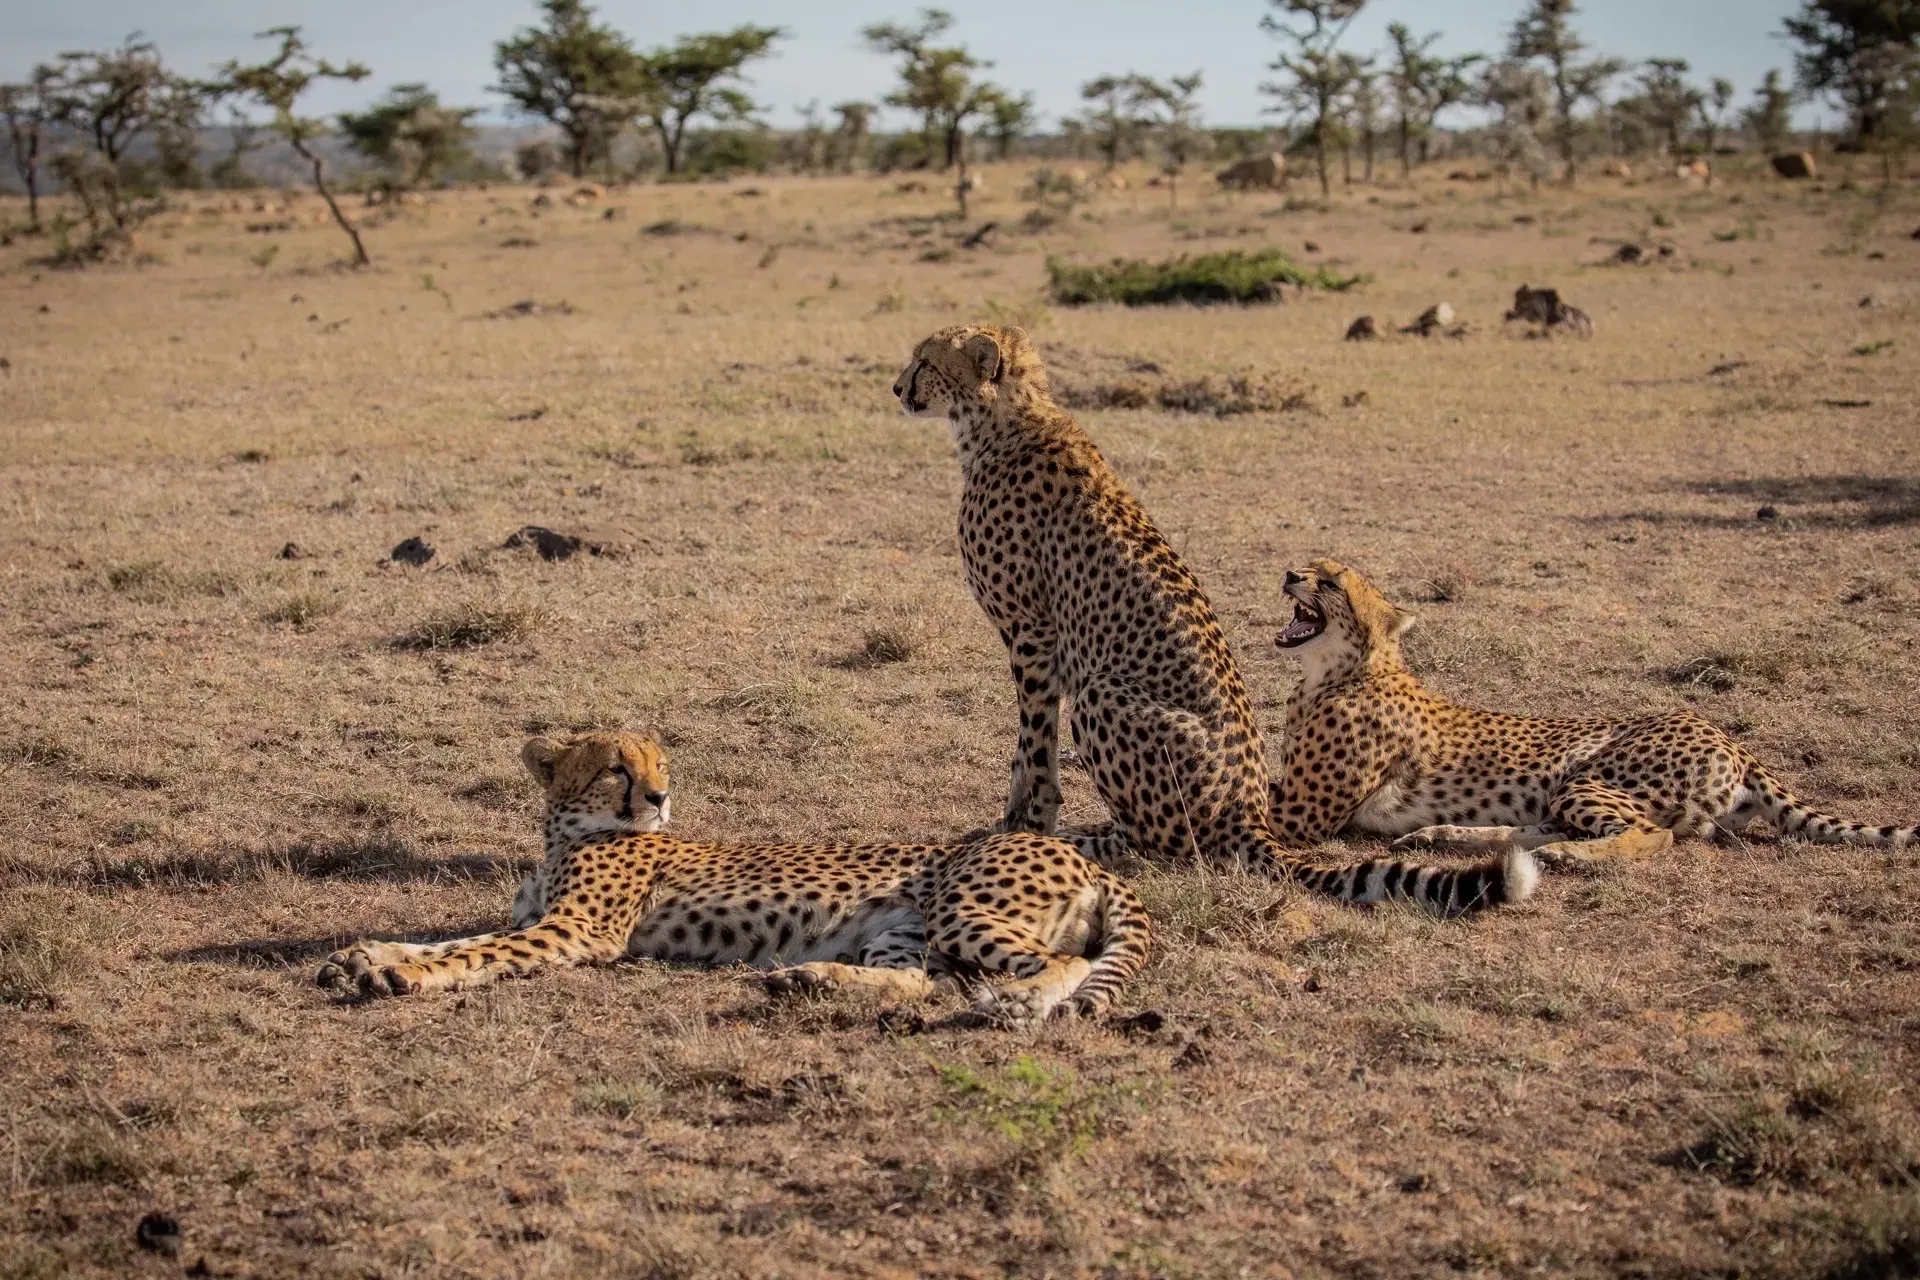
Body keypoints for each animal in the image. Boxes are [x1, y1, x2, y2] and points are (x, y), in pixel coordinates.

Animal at [315, 731, 1151, 1026]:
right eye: (617, 768)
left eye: (659, 764)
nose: (659, 797)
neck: (565, 834)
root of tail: (1081, 853)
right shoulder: (538, 920)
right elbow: (454, 937)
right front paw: (367, 956)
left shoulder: (576, 931)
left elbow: (473, 952)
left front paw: (400, 977)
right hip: (903, 929)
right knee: (920, 982)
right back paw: (811, 981)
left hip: (961, 910)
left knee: (1064, 964)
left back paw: (1019, 1003)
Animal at [891, 324, 1536, 917]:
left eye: (925, 360)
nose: (898, 388)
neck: (1003, 420)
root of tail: (1250, 814)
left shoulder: (1031, 631)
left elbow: (1032, 741)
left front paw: (1023, 821)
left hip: (1104, 695)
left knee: (1163, 844)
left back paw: (1091, 839)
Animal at [1271, 557, 1917, 866]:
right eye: (1308, 564)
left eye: (1330, 582)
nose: (1289, 574)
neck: (1336, 674)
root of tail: (1732, 739)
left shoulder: (1303, 816)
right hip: (1565, 791)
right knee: (1542, 828)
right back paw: (1444, 835)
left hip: (1591, 777)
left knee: (1653, 834)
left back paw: (1563, 855)